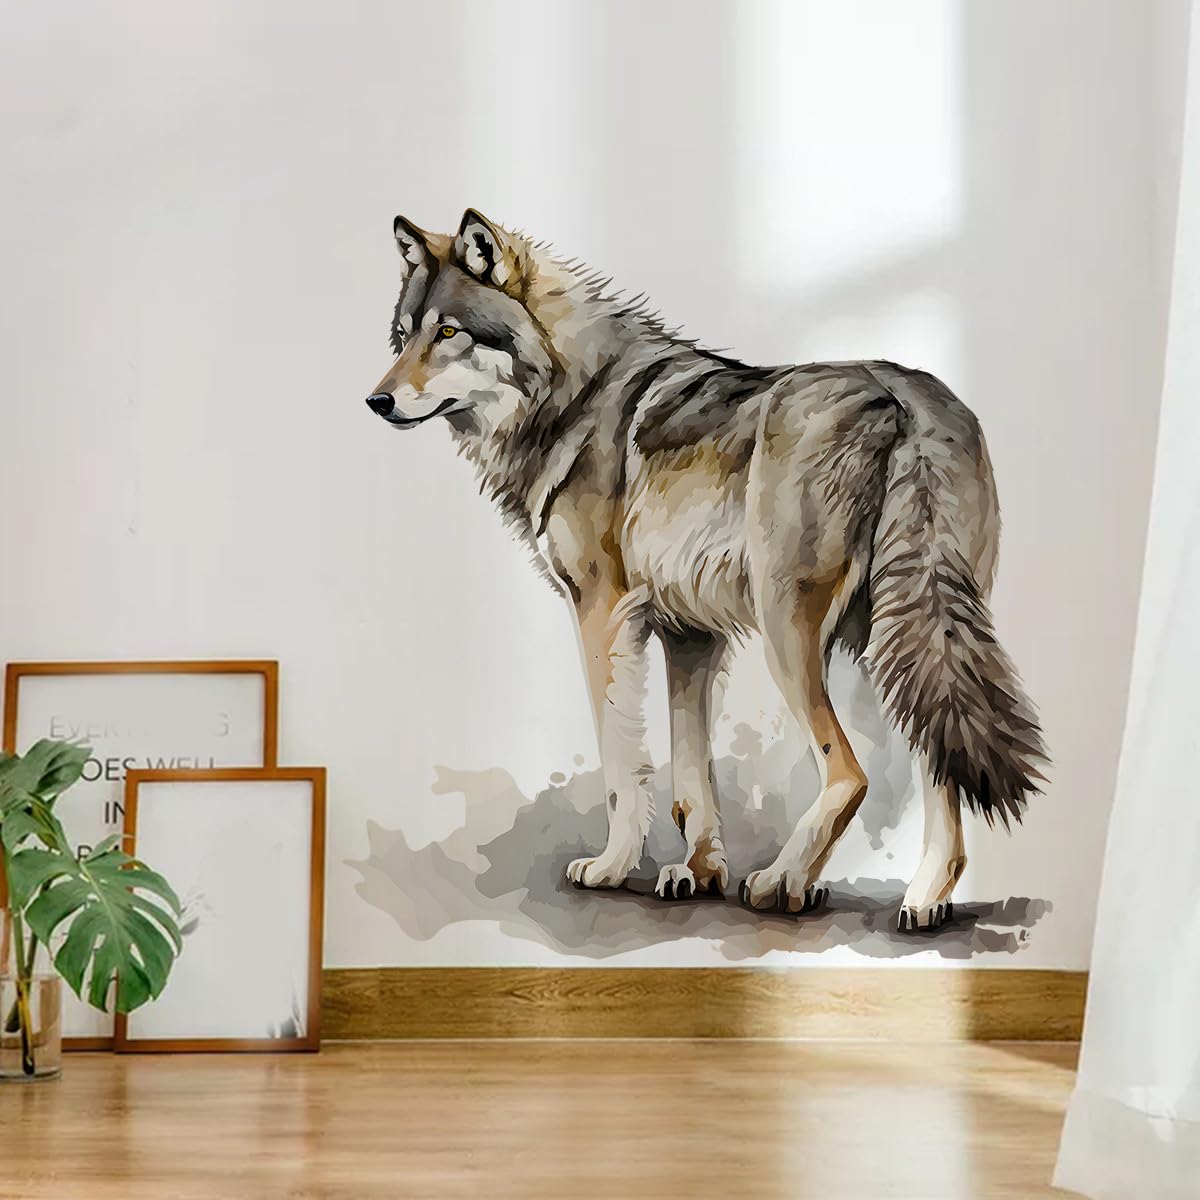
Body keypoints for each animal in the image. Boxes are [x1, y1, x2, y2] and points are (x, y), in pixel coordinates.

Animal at [363, 209, 1047, 931]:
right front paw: (698, 872)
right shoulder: (690, 636)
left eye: (448, 333)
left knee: (850, 773)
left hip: (790, 631)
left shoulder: (602, 615)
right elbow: (691, 777)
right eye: (404, 336)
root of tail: (905, 390)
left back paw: (783, 882)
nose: (376, 401)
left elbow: (621, 765)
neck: (568, 394)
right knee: (939, 758)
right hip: (901, 636)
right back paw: (923, 900)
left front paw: (613, 867)